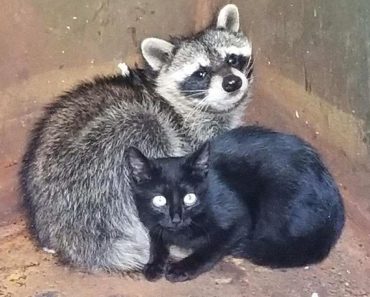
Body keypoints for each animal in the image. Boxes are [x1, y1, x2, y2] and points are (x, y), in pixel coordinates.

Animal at [125, 125, 346, 282]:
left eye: (190, 197)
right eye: (159, 200)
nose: (176, 218)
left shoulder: (239, 221)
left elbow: (210, 249)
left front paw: (182, 268)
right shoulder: (151, 220)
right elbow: (157, 240)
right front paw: (154, 265)